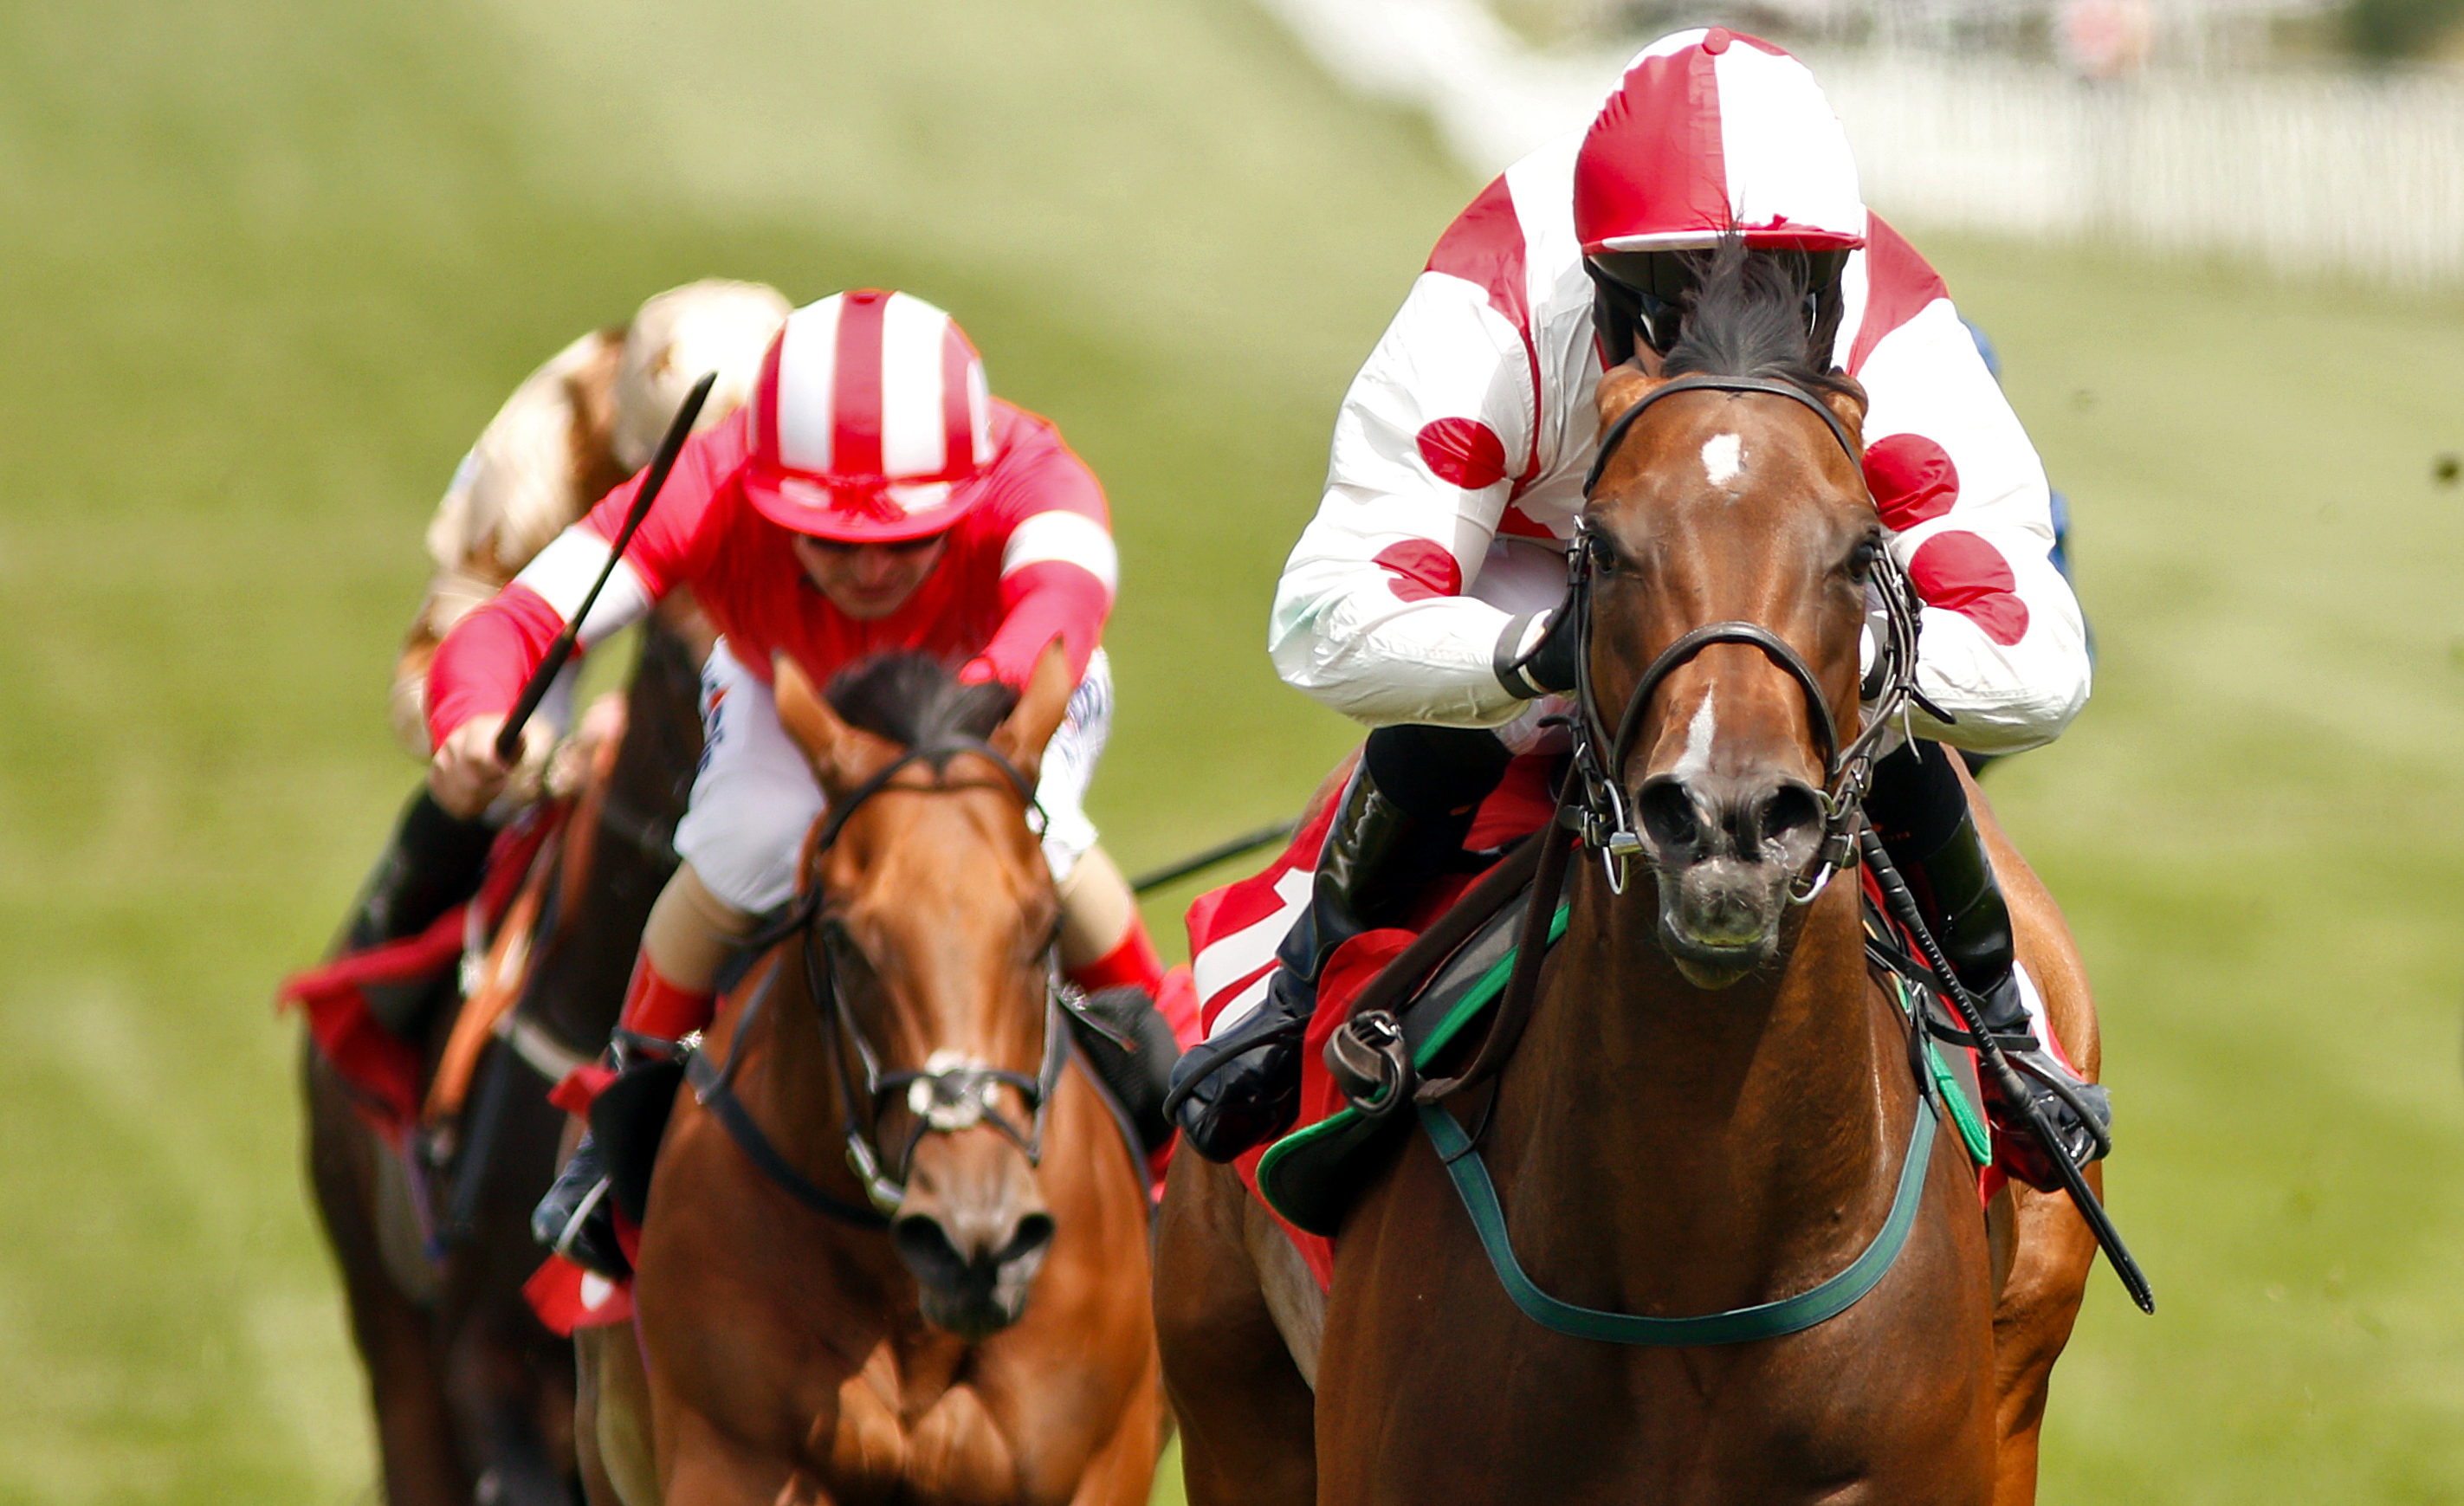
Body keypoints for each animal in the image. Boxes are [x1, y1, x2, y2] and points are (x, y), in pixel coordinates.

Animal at [576, 650, 1162, 1506]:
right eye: (845, 938)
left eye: (1046, 926)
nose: (974, 1235)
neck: (910, 1303)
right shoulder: (734, 1447)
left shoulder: (1093, 1459)